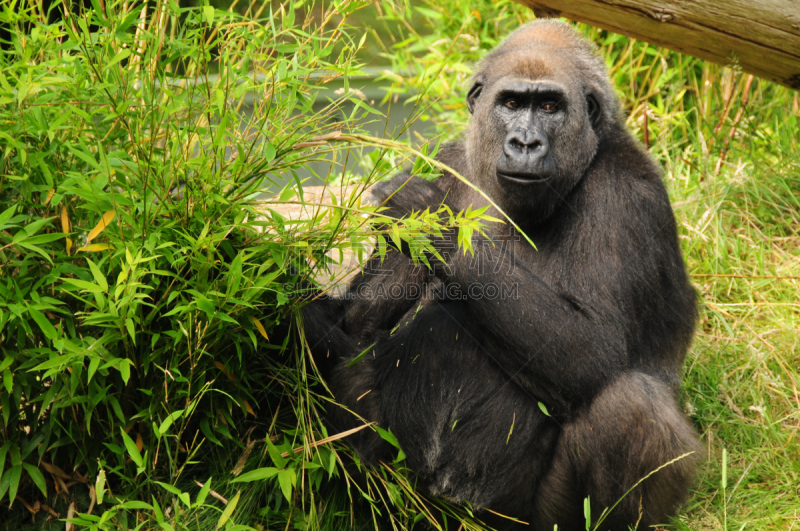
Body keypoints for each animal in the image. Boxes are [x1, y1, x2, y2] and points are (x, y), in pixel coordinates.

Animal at [300, 20, 700, 531]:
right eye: (511, 103)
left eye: (549, 106)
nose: (525, 143)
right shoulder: (448, 160)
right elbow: (356, 323)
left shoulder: (627, 196)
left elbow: (595, 350)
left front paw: (436, 222)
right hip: (405, 487)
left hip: (521, 516)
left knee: (632, 404)